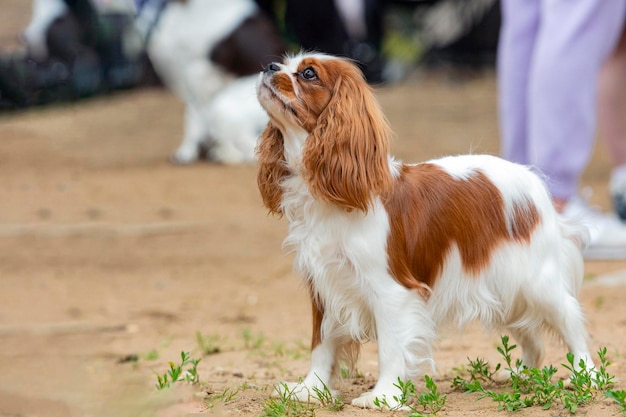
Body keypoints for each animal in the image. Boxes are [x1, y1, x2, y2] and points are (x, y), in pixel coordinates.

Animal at [256, 52, 592, 406]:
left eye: (308, 74)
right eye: (284, 63)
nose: (269, 66)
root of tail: (533, 180)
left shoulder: (391, 291)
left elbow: (390, 348)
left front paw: (383, 397)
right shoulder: (324, 286)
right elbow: (321, 344)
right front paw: (310, 390)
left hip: (537, 281)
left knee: (571, 319)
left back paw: (586, 376)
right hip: (506, 288)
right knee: (532, 337)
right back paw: (522, 374)